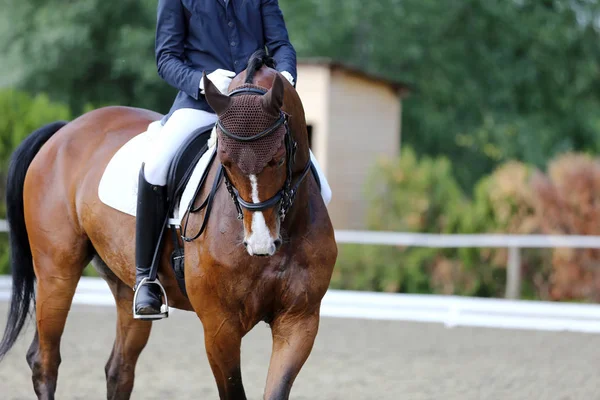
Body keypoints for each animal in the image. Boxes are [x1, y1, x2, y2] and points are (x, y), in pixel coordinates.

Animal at [0, 54, 338, 400]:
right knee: (44, 361)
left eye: (278, 158)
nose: (261, 244)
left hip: (124, 287)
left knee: (119, 370)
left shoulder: (299, 321)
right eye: (225, 162)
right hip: (56, 273)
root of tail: (65, 130)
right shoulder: (220, 326)